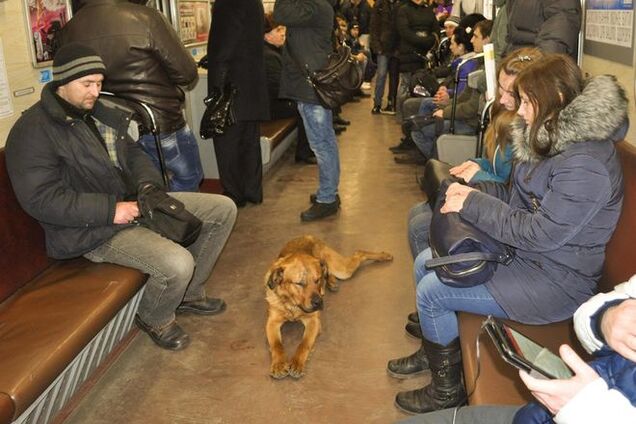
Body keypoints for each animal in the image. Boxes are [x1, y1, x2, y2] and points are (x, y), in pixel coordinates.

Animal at [264, 235, 392, 378]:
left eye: (317, 280)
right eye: (300, 283)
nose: (319, 302)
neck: (293, 305)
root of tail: (308, 236)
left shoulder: (313, 322)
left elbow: (304, 344)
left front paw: (297, 363)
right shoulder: (272, 322)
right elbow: (276, 345)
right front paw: (279, 364)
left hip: (343, 270)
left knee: (358, 253)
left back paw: (384, 255)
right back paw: (332, 281)